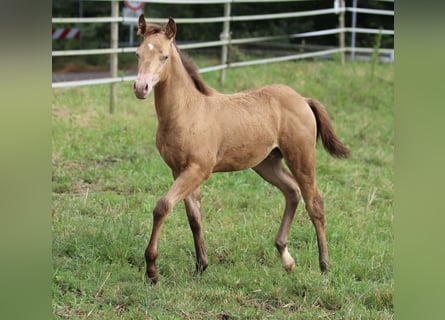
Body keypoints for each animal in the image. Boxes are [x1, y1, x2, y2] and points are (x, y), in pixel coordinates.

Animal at [133, 16, 350, 284]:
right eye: (138, 53)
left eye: (164, 56)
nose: (140, 87)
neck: (187, 111)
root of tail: (303, 99)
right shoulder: (179, 170)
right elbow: (194, 217)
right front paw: (201, 266)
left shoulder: (198, 170)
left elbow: (162, 206)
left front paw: (152, 270)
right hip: (267, 163)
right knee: (292, 191)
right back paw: (286, 258)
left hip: (301, 157)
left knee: (315, 203)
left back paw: (324, 265)